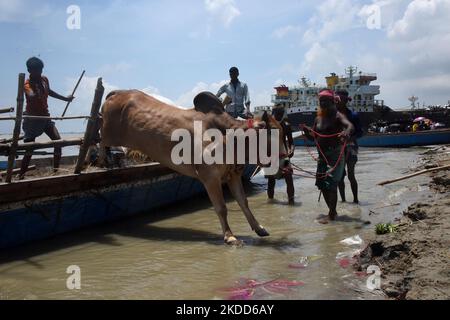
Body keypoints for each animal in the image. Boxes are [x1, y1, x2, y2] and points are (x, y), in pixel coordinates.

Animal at [100, 90, 286, 245]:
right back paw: (104, 159)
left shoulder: (233, 175)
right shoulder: (210, 178)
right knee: (100, 143)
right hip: (107, 133)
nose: (285, 161)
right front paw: (230, 236)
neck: (228, 136)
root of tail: (117, 93)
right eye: (272, 134)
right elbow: (221, 208)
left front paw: (259, 228)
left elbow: (244, 202)